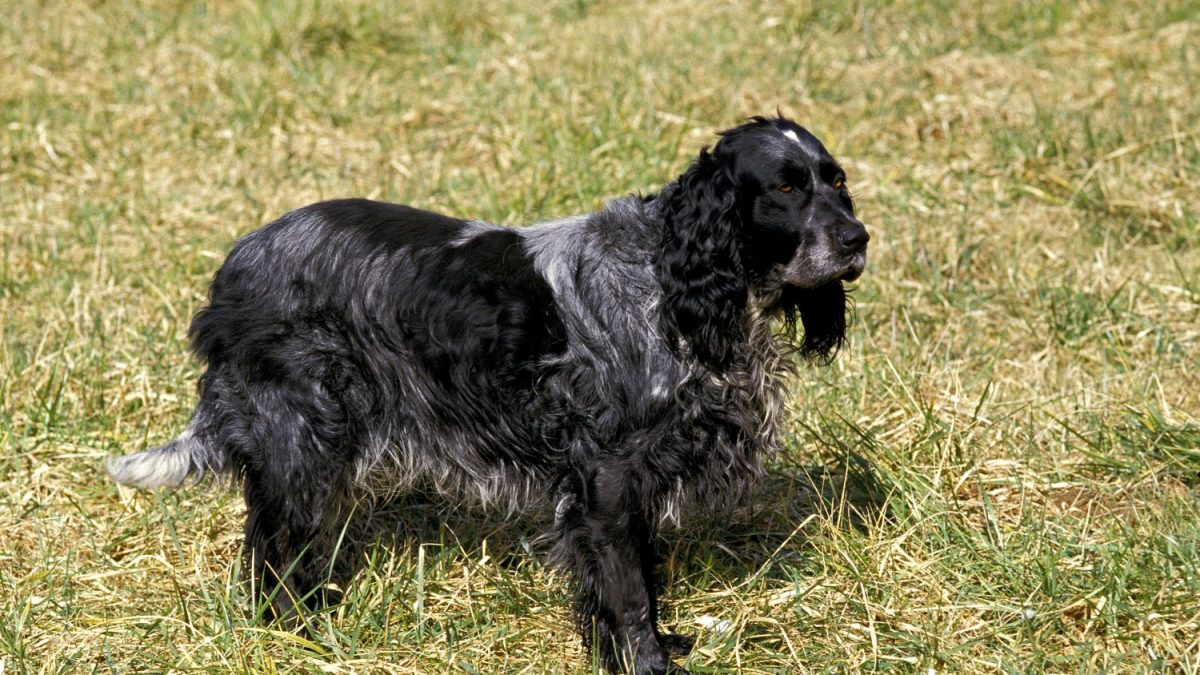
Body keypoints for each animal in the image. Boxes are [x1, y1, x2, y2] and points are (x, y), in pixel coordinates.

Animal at [108, 117, 868, 672]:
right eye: (785, 189)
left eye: (836, 181)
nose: (858, 237)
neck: (671, 285)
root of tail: (233, 269)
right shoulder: (607, 474)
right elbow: (626, 589)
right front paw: (646, 660)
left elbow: (631, 577)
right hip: (300, 436)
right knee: (272, 548)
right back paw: (295, 631)